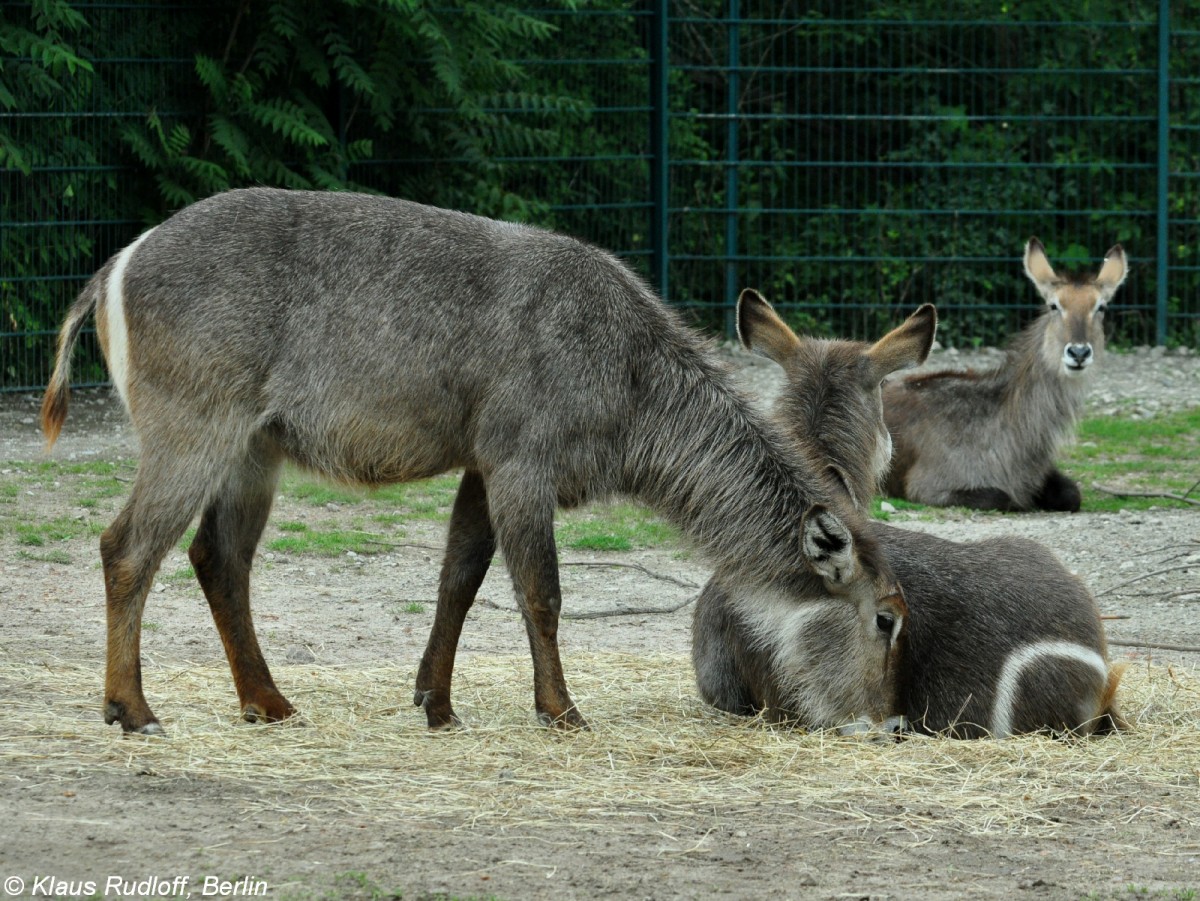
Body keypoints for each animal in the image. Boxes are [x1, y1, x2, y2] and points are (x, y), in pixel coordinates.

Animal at [39, 188, 902, 734]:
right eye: (887, 616)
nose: (888, 720)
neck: (632, 378)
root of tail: (114, 265)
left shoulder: (481, 466)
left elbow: (458, 578)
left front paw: (437, 702)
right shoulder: (521, 459)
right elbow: (541, 592)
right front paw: (562, 711)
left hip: (256, 449)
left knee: (217, 557)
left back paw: (269, 703)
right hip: (195, 429)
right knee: (127, 547)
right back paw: (135, 711)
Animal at [883, 236, 1123, 511]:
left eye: (1101, 307)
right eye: (1054, 305)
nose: (1079, 352)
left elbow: (1072, 494)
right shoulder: (927, 487)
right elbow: (1003, 497)